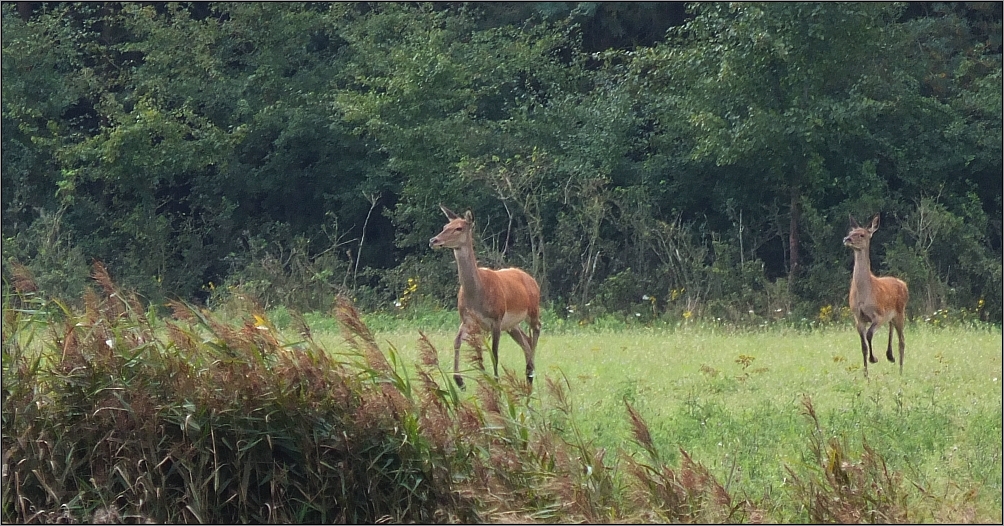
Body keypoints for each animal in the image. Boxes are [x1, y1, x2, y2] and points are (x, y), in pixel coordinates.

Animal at [429, 205, 542, 389]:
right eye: (445, 226)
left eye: (459, 228)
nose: (434, 240)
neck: (477, 293)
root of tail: (531, 280)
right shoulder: (468, 319)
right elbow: (457, 342)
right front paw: (460, 380)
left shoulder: (496, 318)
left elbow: (494, 352)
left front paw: (496, 382)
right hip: (511, 324)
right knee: (526, 340)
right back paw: (529, 375)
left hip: (532, 309)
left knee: (537, 329)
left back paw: (530, 369)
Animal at [839, 214, 911, 377]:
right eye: (851, 231)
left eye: (861, 234)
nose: (846, 239)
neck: (864, 295)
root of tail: (903, 284)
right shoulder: (858, 317)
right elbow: (863, 346)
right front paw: (866, 375)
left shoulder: (878, 315)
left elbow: (869, 335)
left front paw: (874, 359)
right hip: (892, 315)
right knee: (893, 330)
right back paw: (890, 356)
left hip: (900, 312)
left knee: (902, 340)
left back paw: (901, 371)